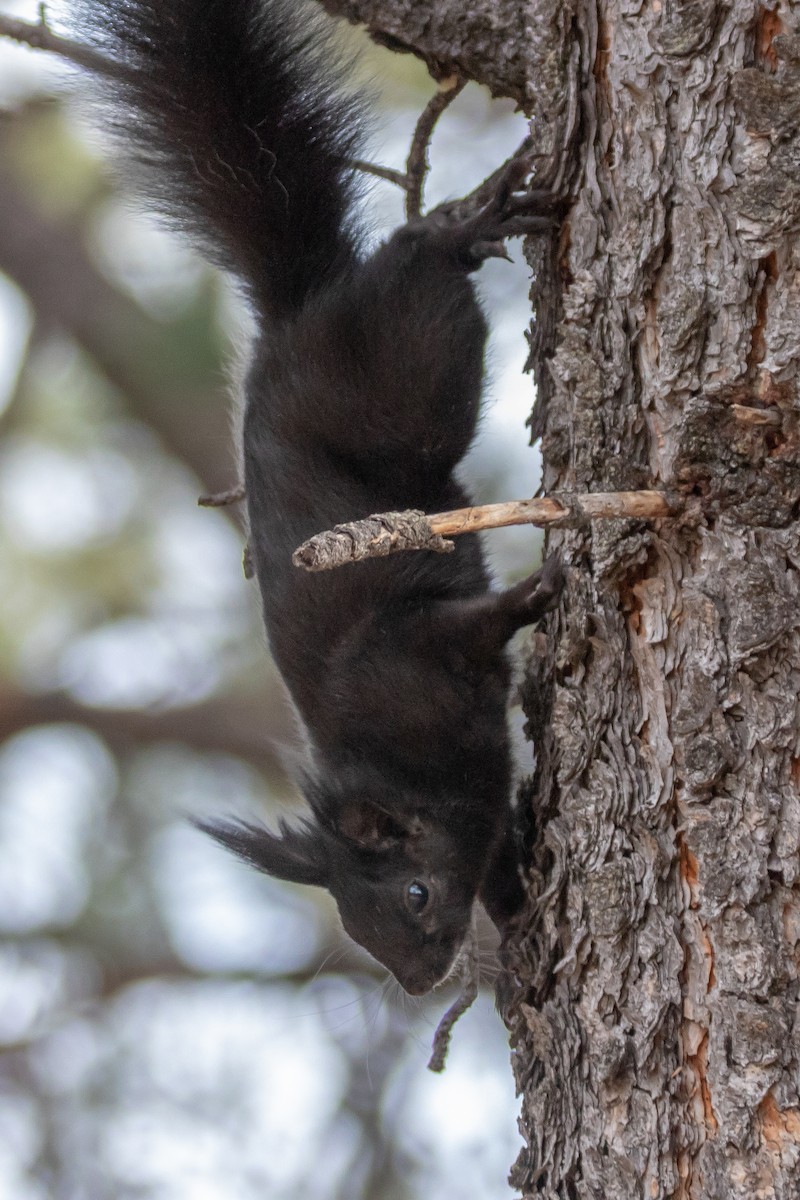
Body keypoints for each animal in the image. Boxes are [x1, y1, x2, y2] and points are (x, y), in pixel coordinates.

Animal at [73, 0, 564, 995]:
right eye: (360, 931)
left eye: (413, 895)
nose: (419, 985)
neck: (390, 764)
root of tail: (293, 312)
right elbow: (495, 851)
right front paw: (519, 905)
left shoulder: (410, 649)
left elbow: (471, 625)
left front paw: (537, 594)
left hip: (402, 378)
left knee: (416, 267)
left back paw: (467, 222)